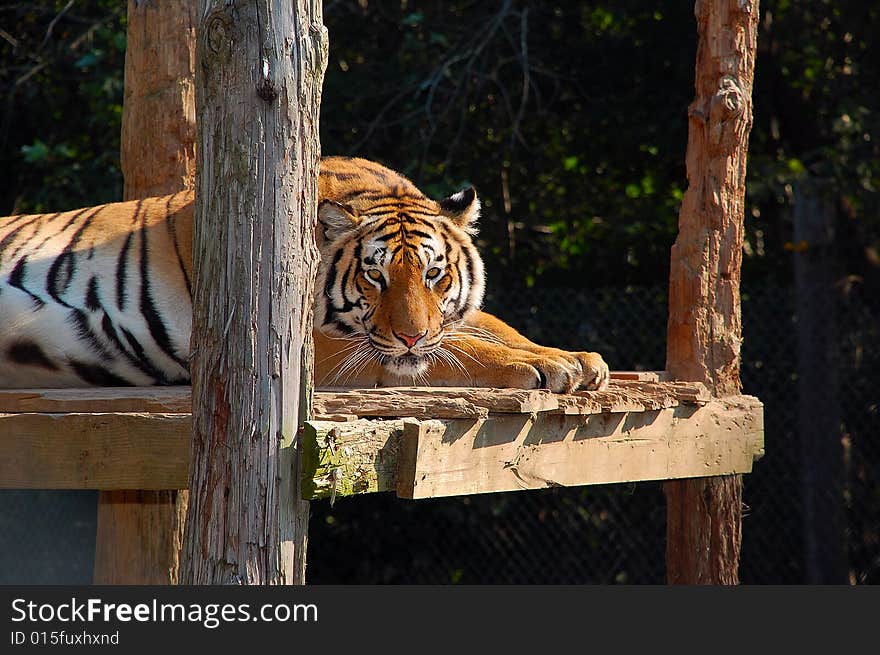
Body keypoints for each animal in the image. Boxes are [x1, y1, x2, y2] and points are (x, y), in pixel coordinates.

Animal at [0, 156, 604, 392]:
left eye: (434, 275)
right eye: (375, 277)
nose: (412, 336)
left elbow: (490, 328)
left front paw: (576, 358)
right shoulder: (318, 349)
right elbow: (464, 352)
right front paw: (539, 367)